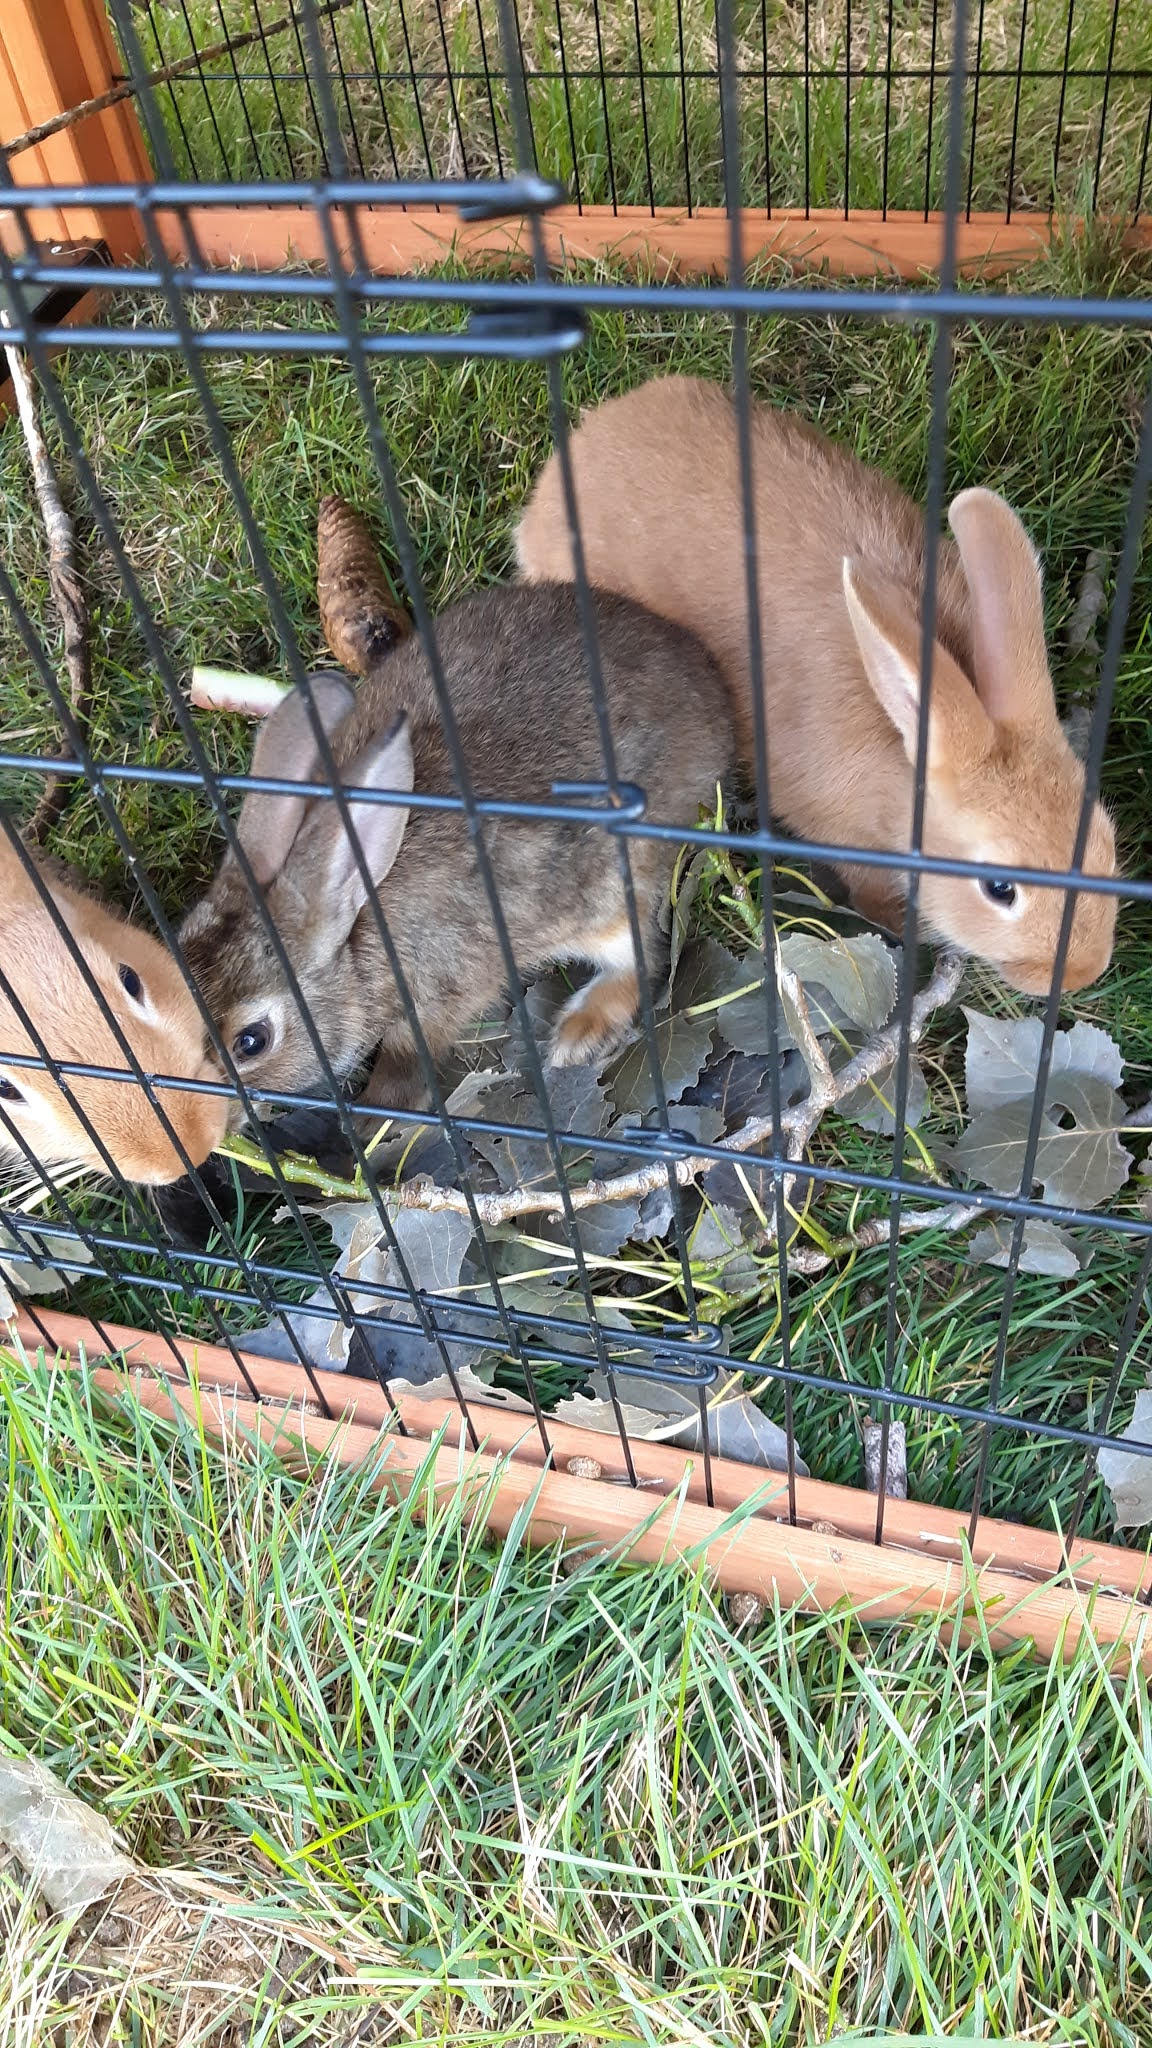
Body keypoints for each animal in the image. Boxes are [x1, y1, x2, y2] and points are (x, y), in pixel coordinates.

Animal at [177, 580, 733, 1117]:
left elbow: (408, 1055)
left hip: (611, 894)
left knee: (643, 956)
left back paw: (579, 1036)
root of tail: (706, 678)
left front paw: (379, 1114)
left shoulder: (443, 990)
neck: (355, 931)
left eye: (252, 1041)